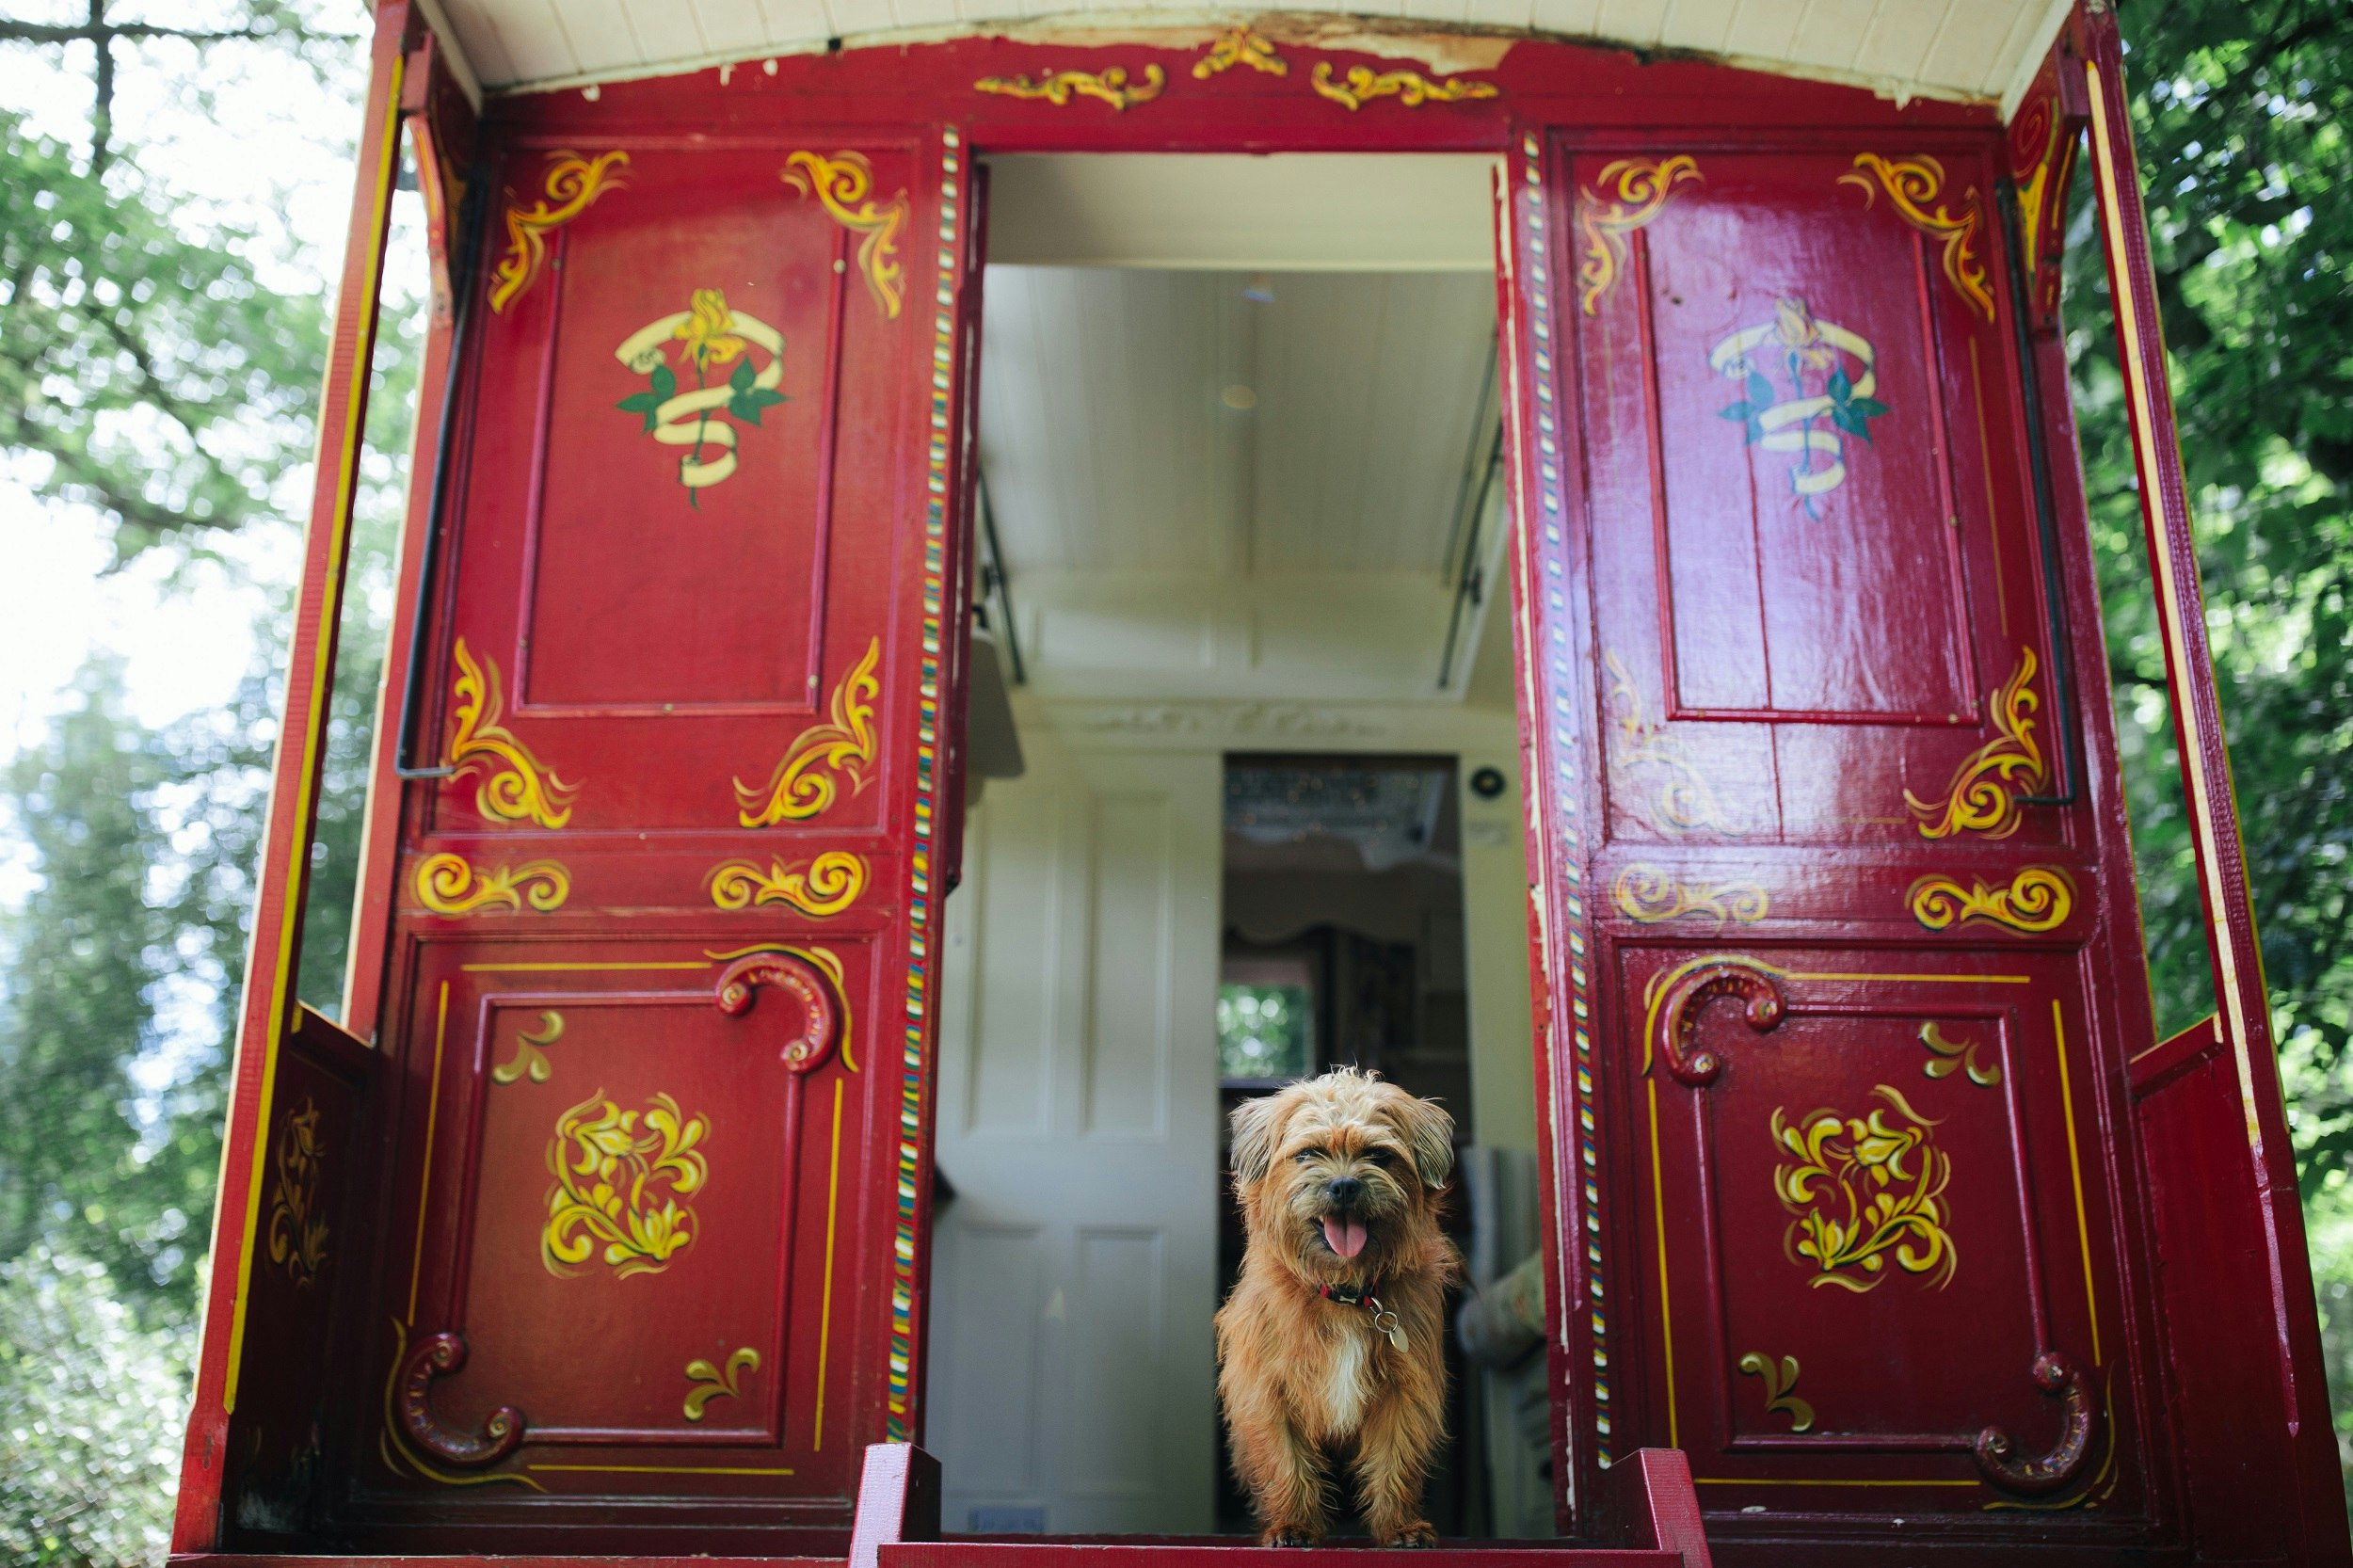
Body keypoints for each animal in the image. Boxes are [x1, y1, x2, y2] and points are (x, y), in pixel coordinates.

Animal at [1214, 1054, 1449, 1544]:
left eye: (1378, 1155)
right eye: (1307, 1154)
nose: (1343, 1185)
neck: (1343, 1294)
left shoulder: (1404, 1393)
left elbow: (1396, 1462)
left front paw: (1399, 1525)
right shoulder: (1268, 1392)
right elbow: (1285, 1462)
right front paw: (1293, 1524)